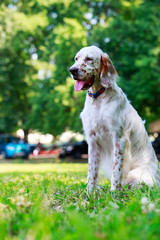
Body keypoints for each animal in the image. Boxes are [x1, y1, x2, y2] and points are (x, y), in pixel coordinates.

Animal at [69, 45, 159, 193]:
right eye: (76, 59)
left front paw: (113, 193)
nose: (72, 70)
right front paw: (89, 193)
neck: (98, 99)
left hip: (136, 174)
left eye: (89, 59)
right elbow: (92, 172)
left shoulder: (119, 139)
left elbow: (116, 171)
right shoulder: (92, 141)